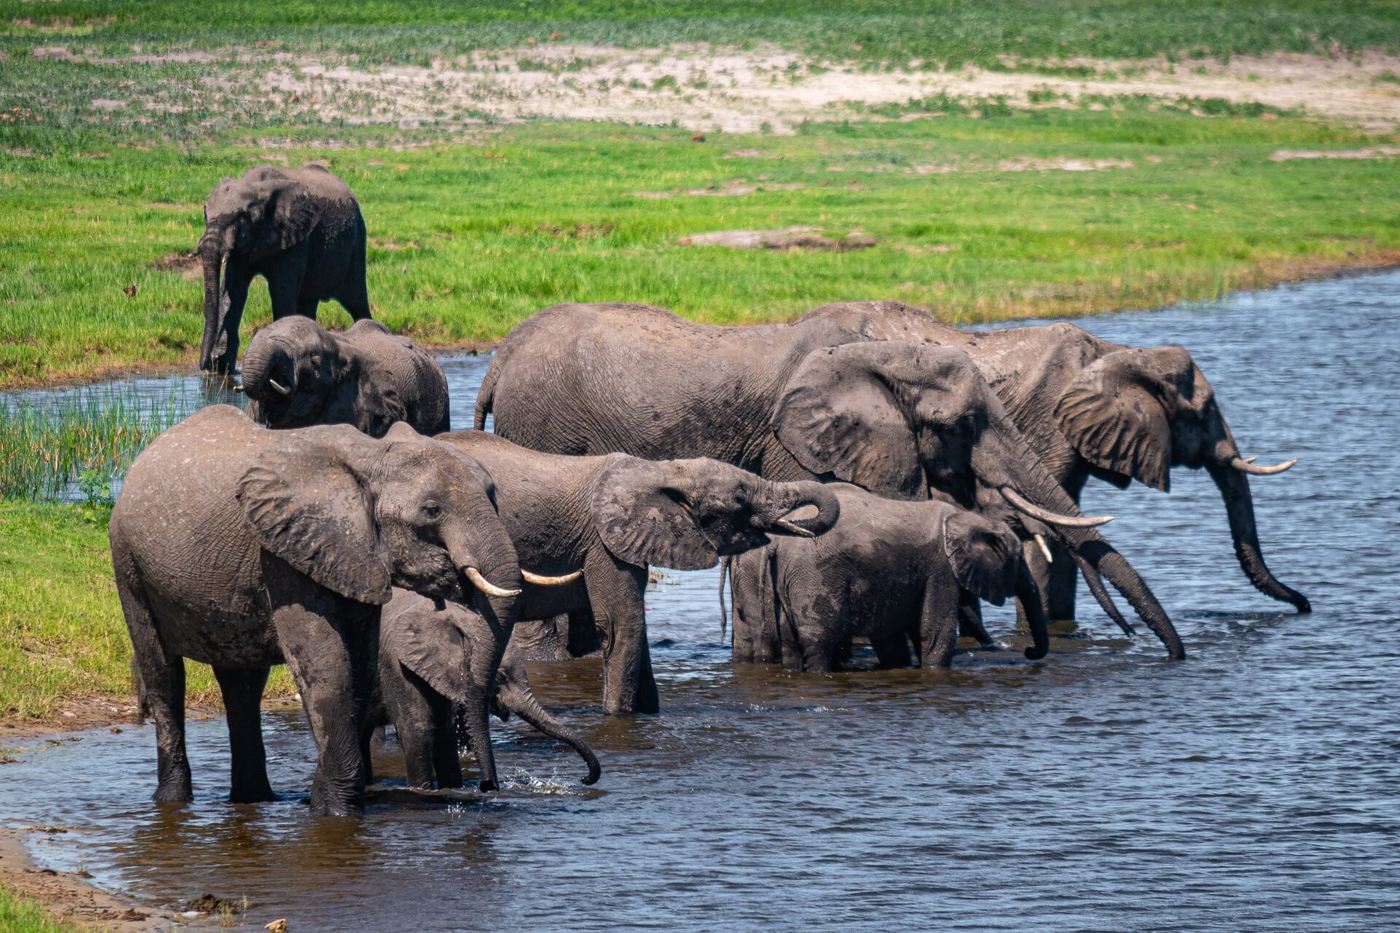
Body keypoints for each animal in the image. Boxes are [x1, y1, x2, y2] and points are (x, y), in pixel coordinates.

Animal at [109, 406, 524, 814]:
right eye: (432, 510)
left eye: (494, 495)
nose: (487, 787)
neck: (374, 457)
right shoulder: (283, 552)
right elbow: (324, 661)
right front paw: (334, 810)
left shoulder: (354, 555)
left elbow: (359, 664)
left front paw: (323, 801)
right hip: (127, 561)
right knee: (162, 672)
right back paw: (174, 801)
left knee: (243, 683)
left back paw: (254, 800)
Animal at [197, 164, 371, 374]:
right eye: (205, 214)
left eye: (240, 219)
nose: (204, 366)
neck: (255, 187)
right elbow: (234, 291)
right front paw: (221, 368)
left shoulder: (295, 238)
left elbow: (281, 291)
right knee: (308, 302)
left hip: (357, 241)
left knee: (357, 301)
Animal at [434, 430, 842, 714]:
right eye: (740, 498)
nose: (806, 527)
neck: (657, 471)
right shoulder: (603, 544)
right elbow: (622, 626)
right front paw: (617, 718)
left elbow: (637, 632)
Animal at [729, 484, 1050, 672]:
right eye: (1017, 560)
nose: (1028, 651)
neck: (968, 518)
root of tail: (779, 544)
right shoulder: (940, 570)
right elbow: (935, 633)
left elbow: (892, 639)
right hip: (814, 578)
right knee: (819, 641)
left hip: (790, 580)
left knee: (792, 643)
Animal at [799, 301, 1308, 624]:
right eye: (1203, 412)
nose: (1305, 604)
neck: (1115, 353)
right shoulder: (1047, 424)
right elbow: (1046, 538)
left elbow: (1069, 538)